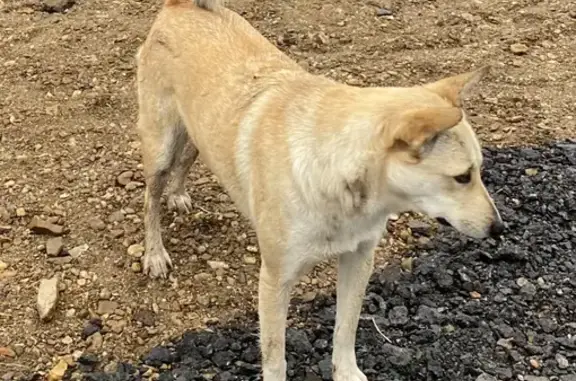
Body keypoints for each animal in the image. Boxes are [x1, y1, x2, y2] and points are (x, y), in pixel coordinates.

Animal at [135, 0, 504, 380]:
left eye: (478, 170)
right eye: (463, 176)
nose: (499, 228)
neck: (338, 177)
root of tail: (180, 7)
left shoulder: (359, 259)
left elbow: (346, 328)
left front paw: (346, 372)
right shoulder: (275, 280)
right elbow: (275, 356)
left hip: (198, 130)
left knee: (188, 157)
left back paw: (178, 193)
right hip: (160, 147)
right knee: (150, 199)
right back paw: (154, 252)